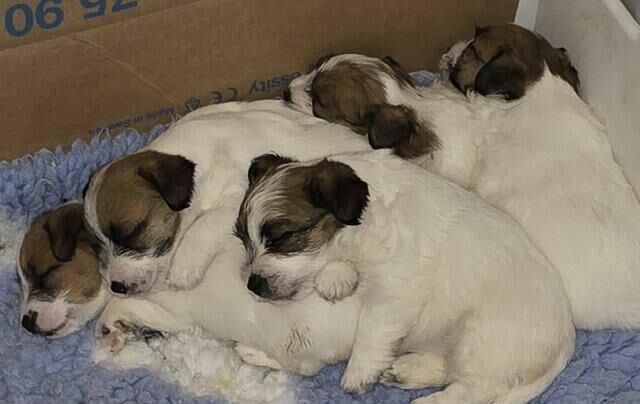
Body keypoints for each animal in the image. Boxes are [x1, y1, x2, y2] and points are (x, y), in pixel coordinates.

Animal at [84, 98, 376, 294]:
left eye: (133, 232)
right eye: (96, 246)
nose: (115, 286)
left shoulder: (238, 196)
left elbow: (205, 223)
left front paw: (184, 264)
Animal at [236, 150, 576, 402]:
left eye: (282, 237)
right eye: (242, 238)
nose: (253, 285)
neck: (368, 221)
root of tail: (565, 341)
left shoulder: (396, 289)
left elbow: (371, 328)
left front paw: (358, 371)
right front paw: (335, 278)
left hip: (480, 340)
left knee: (476, 389)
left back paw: (429, 400)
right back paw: (405, 370)